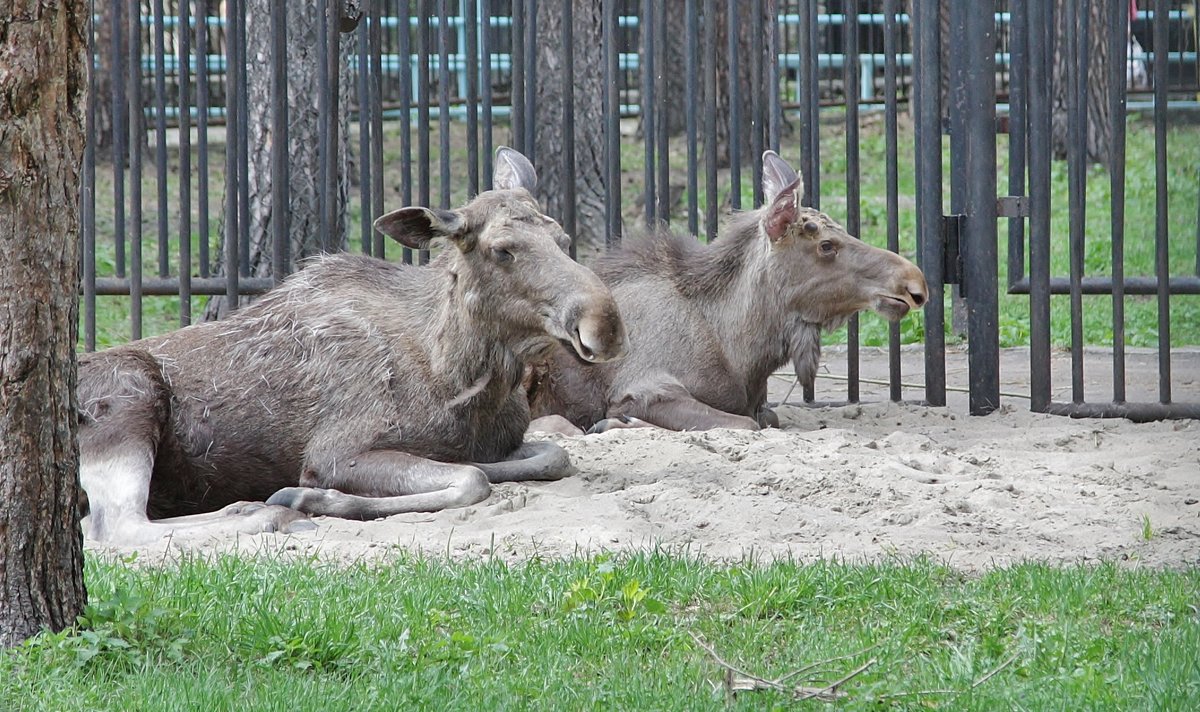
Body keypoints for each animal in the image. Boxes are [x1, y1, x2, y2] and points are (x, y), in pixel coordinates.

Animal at [78, 145, 624, 545]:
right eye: (502, 250)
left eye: (564, 238)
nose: (605, 323)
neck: (460, 381)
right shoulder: (337, 452)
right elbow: (473, 479)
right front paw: (308, 498)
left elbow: (545, 456)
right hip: (127, 402)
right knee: (115, 526)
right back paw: (267, 514)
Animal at [525, 150, 926, 432]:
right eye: (826, 245)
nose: (914, 284)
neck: (742, 351)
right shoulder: (644, 388)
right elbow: (745, 423)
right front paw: (617, 423)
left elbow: (768, 419)